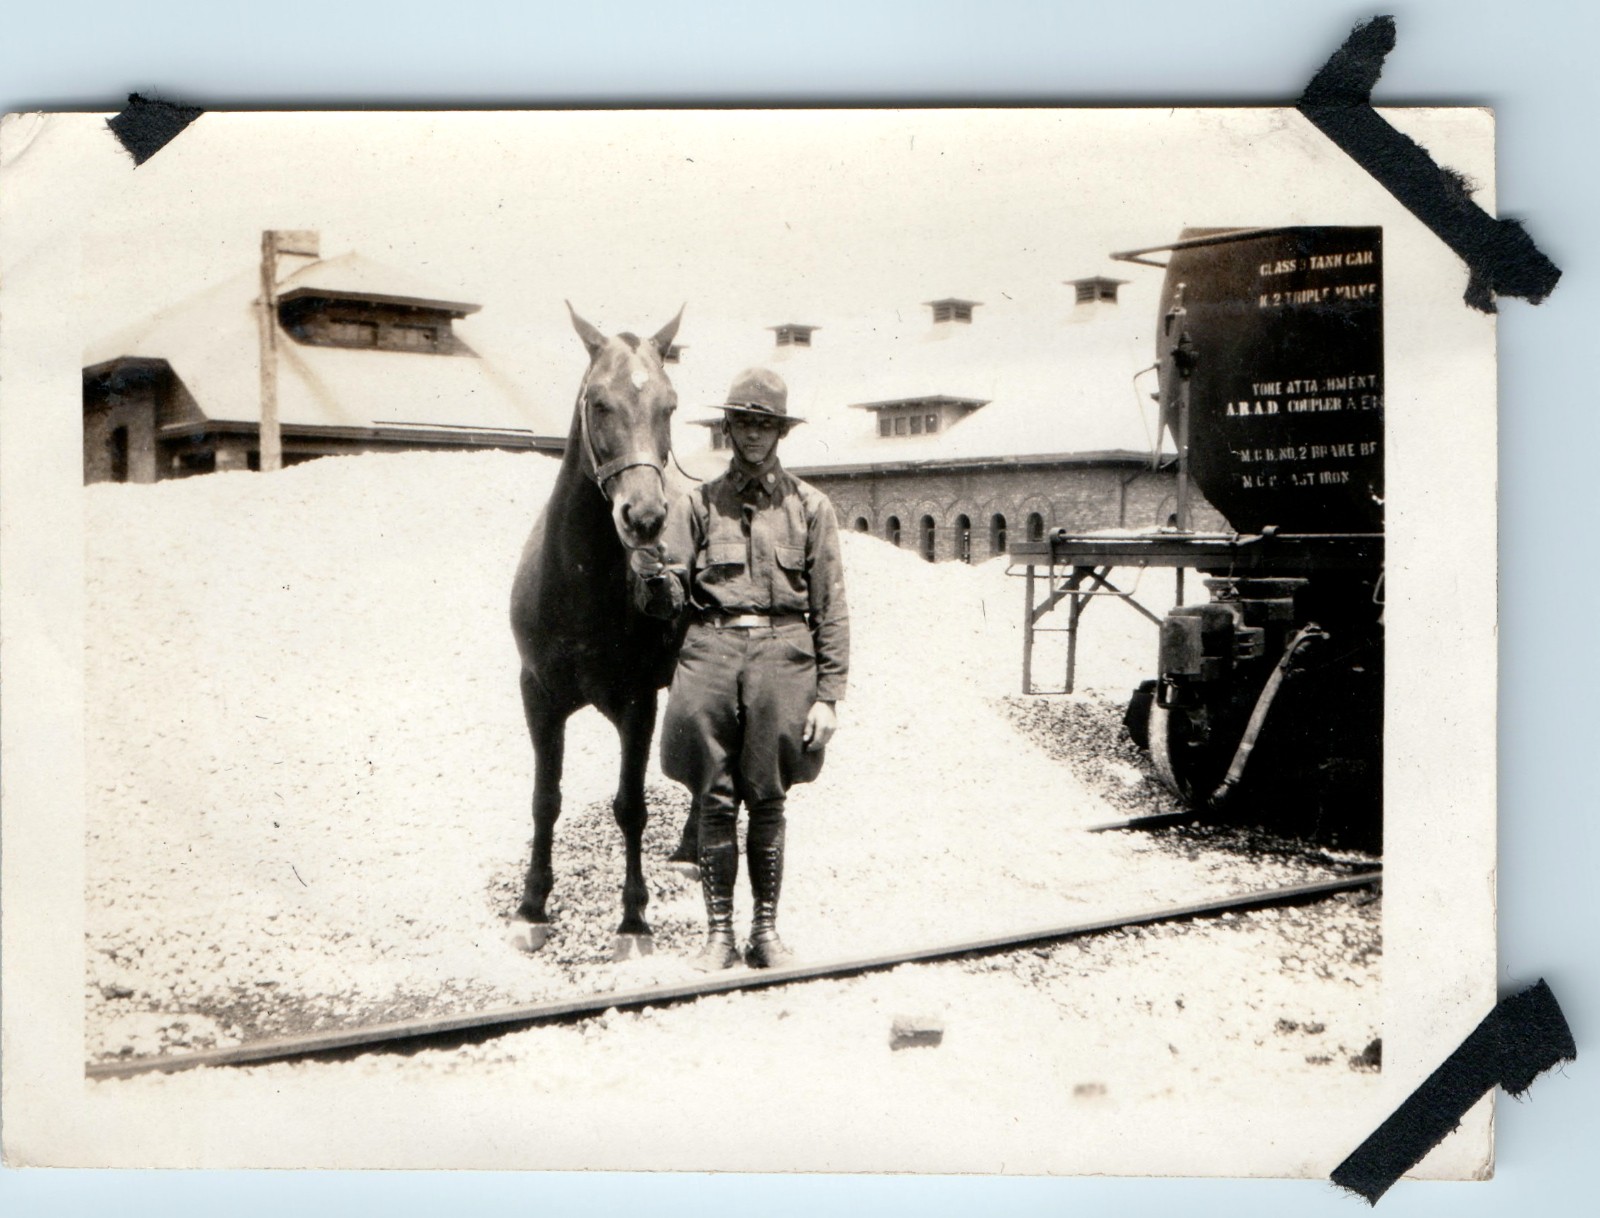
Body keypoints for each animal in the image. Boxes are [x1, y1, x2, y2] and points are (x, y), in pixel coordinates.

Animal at [507, 304, 698, 960]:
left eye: (669, 404)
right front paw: (532, 906)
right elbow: (544, 799)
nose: (644, 518)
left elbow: (630, 806)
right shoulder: (537, 695)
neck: (578, 586)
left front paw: (634, 919)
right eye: (597, 403)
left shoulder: (636, 704)